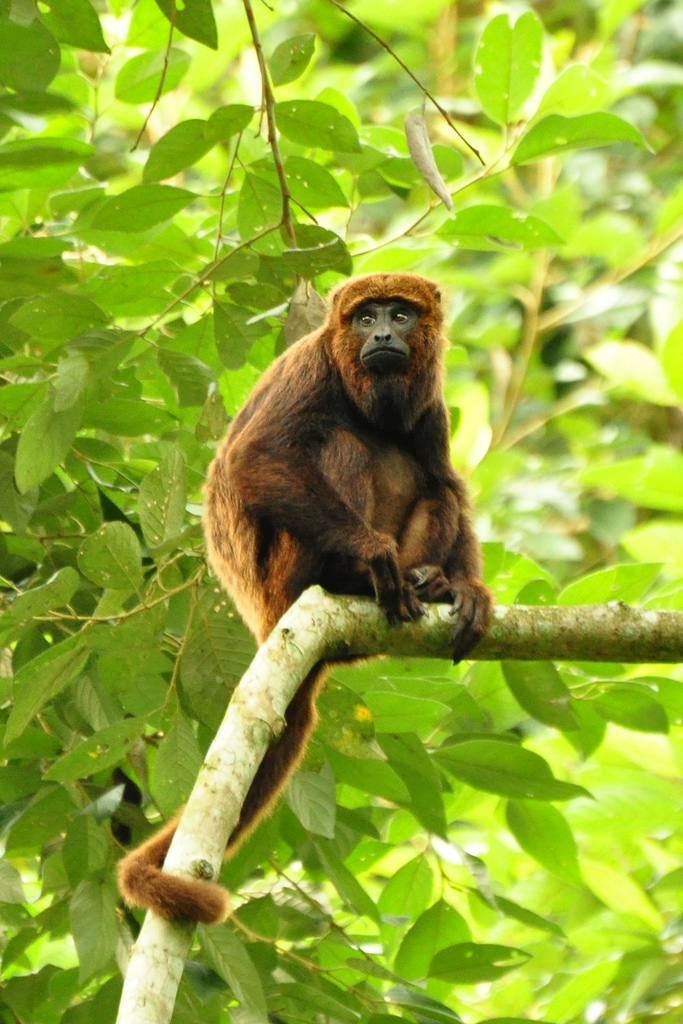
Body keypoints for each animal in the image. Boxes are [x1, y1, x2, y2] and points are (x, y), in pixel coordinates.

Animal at [117, 274, 491, 929]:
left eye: (401, 314)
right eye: (365, 318)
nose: (383, 335)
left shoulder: (434, 405)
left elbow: (448, 483)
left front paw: (467, 589)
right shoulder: (310, 367)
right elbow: (255, 457)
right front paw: (372, 554)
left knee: (433, 487)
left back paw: (431, 582)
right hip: (286, 575)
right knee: (338, 443)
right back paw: (356, 575)